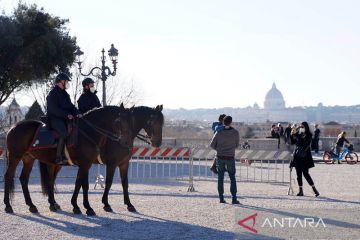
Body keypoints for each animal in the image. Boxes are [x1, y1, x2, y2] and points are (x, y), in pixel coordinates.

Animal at [3, 104, 134, 215]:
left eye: (130, 121)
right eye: (119, 121)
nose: (126, 143)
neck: (88, 132)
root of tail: (13, 127)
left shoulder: (87, 164)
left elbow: (82, 184)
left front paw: (85, 206)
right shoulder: (87, 164)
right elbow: (80, 183)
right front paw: (79, 206)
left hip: (29, 159)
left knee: (25, 179)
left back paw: (33, 205)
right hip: (15, 156)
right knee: (8, 176)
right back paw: (8, 205)